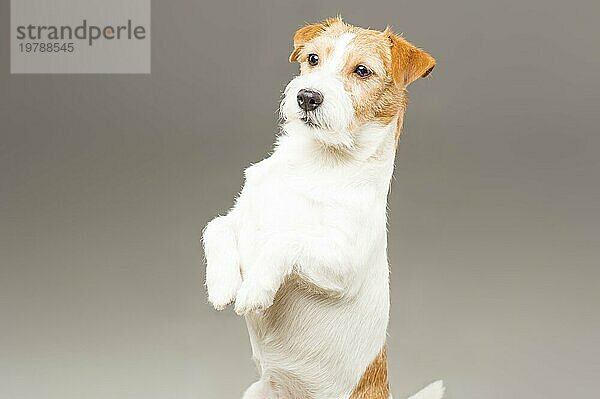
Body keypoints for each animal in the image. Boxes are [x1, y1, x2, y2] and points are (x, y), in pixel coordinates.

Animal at [204, 16, 442, 399]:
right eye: (313, 58)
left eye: (362, 70)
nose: (307, 96)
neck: (313, 162)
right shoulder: (240, 218)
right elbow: (214, 227)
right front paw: (223, 284)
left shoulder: (342, 264)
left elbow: (283, 241)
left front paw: (254, 289)